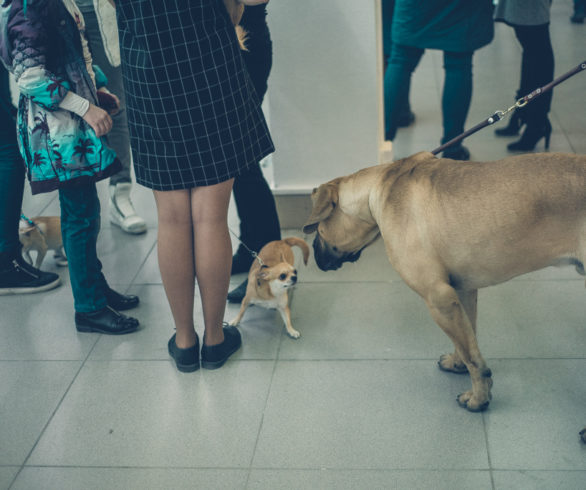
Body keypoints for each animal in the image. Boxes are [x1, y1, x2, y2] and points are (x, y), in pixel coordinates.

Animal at [302, 151, 584, 442]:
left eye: (318, 231)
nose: (315, 259)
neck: (383, 186)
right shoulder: (461, 292)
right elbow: (467, 341)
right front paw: (458, 364)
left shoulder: (438, 298)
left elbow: (474, 359)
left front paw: (478, 399)